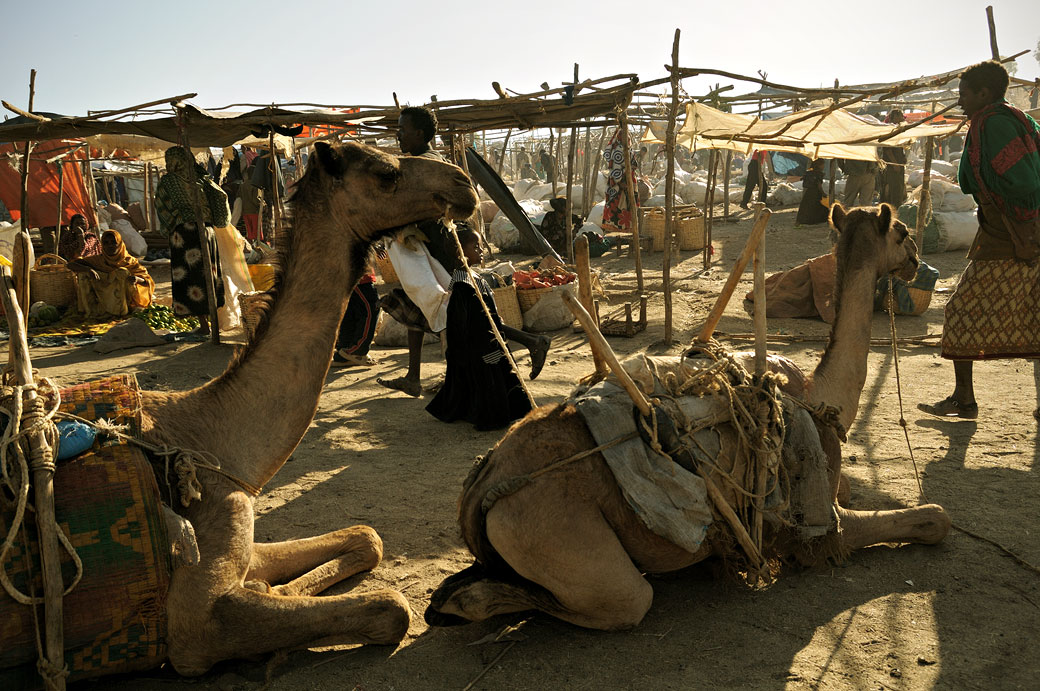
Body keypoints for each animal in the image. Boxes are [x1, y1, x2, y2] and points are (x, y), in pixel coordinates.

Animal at [134, 140, 478, 674]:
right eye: (386, 171)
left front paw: (271, 588)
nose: (463, 183)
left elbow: (367, 535)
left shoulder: (243, 538)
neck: (211, 435)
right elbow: (391, 606)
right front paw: (271, 608)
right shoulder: (191, 625)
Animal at [426, 202, 952, 628]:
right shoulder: (812, 517)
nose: (916, 261)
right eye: (901, 231)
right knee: (623, 599)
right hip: (559, 537)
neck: (823, 398)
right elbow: (933, 517)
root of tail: (486, 486)